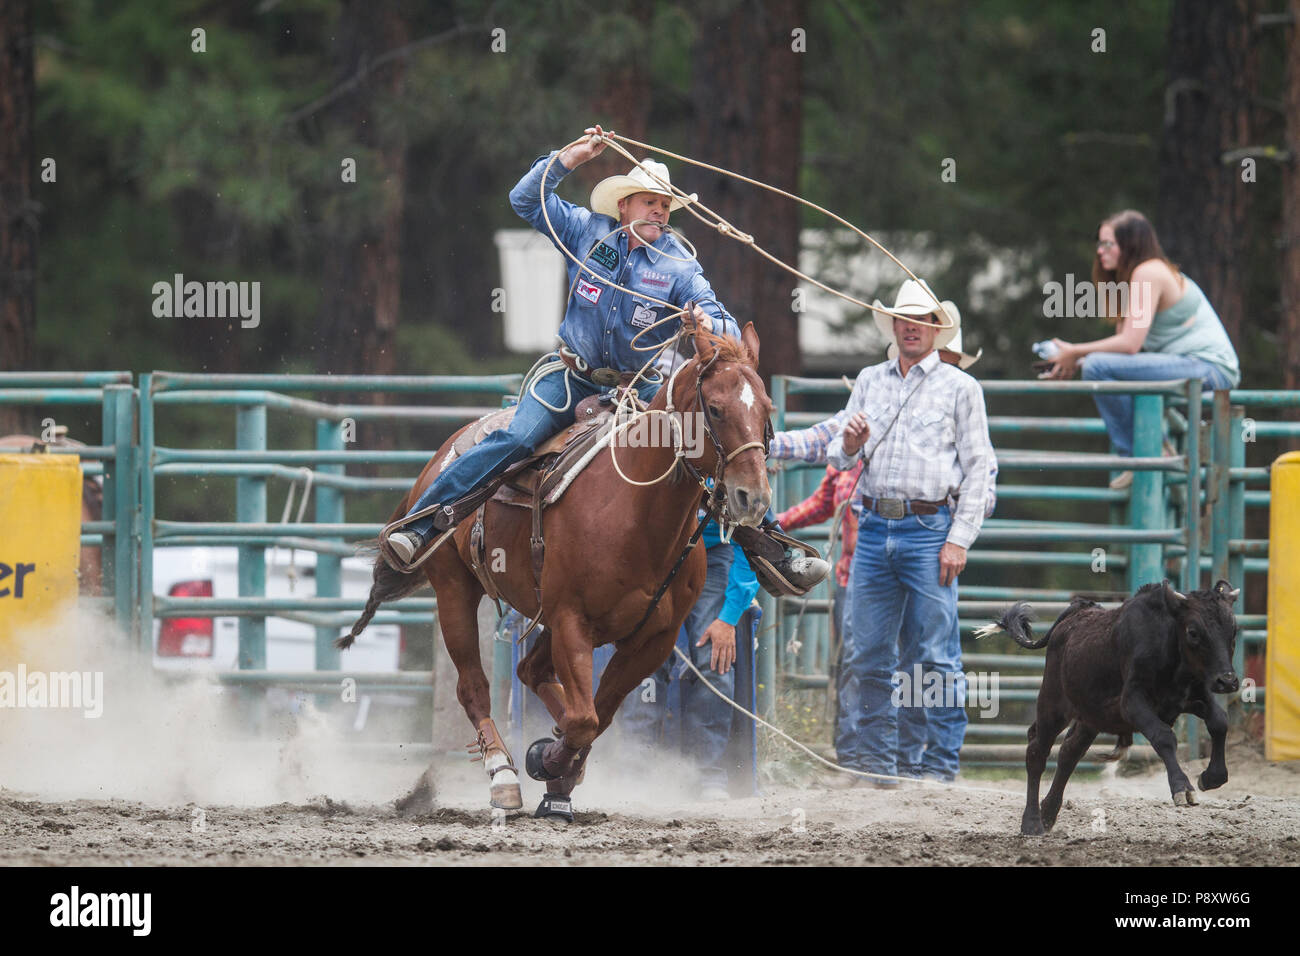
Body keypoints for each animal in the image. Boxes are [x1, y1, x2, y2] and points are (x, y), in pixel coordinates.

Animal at [343, 325, 769, 816]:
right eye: (715, 408)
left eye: (766, 410)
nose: (754, 498)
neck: (634, 511)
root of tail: (451, 446)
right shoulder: (570, 619)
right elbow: (585, 718)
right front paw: (547, 762)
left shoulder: (652, 640)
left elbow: (599, 716)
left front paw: (560, 775)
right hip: (454, 590)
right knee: (473, 687)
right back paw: (503, 774)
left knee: (531, 672)